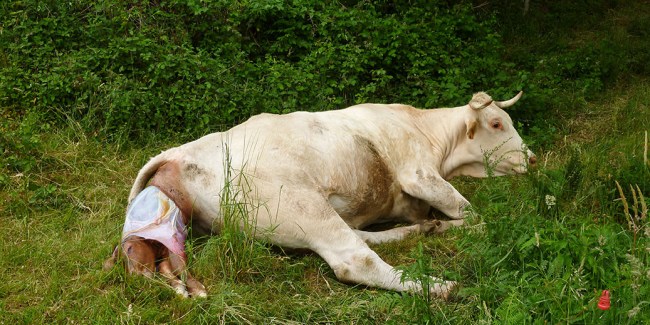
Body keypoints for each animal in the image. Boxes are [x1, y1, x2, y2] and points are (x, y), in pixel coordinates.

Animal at [111, 90, 536, 298]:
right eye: (497, 123)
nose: (532, 158)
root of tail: (180, 153)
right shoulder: (418, 173)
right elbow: (471, 213)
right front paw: (464, 228)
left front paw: (431, 225)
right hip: (302, 204)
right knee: (354, 260)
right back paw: (437, 287)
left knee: (363, 239)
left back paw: (420, 233)